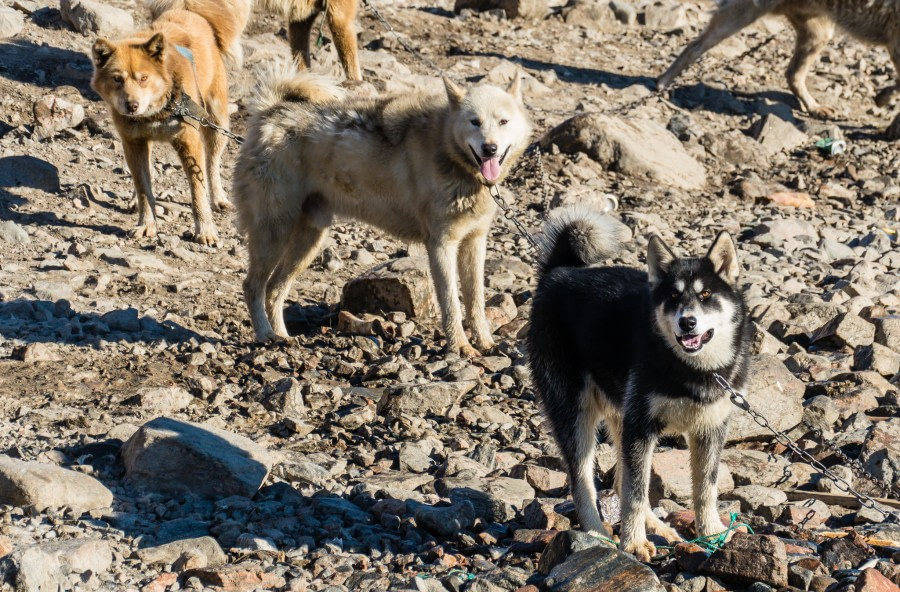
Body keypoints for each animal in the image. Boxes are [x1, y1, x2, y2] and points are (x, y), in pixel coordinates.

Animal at [90, 0, 250, 245]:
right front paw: (146, 224)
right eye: (117, 79)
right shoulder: (133, 143)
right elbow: (143, 187)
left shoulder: (189, 142)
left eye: (143, 78)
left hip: (217, 122)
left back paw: (219, 198)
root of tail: (187, 12)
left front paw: (205, 230)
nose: (131, 105)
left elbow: (198, 191)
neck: (156, 112)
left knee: (213, 163)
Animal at [652, 0, 900, 140]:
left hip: (818, 32)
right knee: (694, 46)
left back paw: (814, 107)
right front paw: (888, 113)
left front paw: (885, 103)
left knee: (793, 74)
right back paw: (662, 84)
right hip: (743, 13)